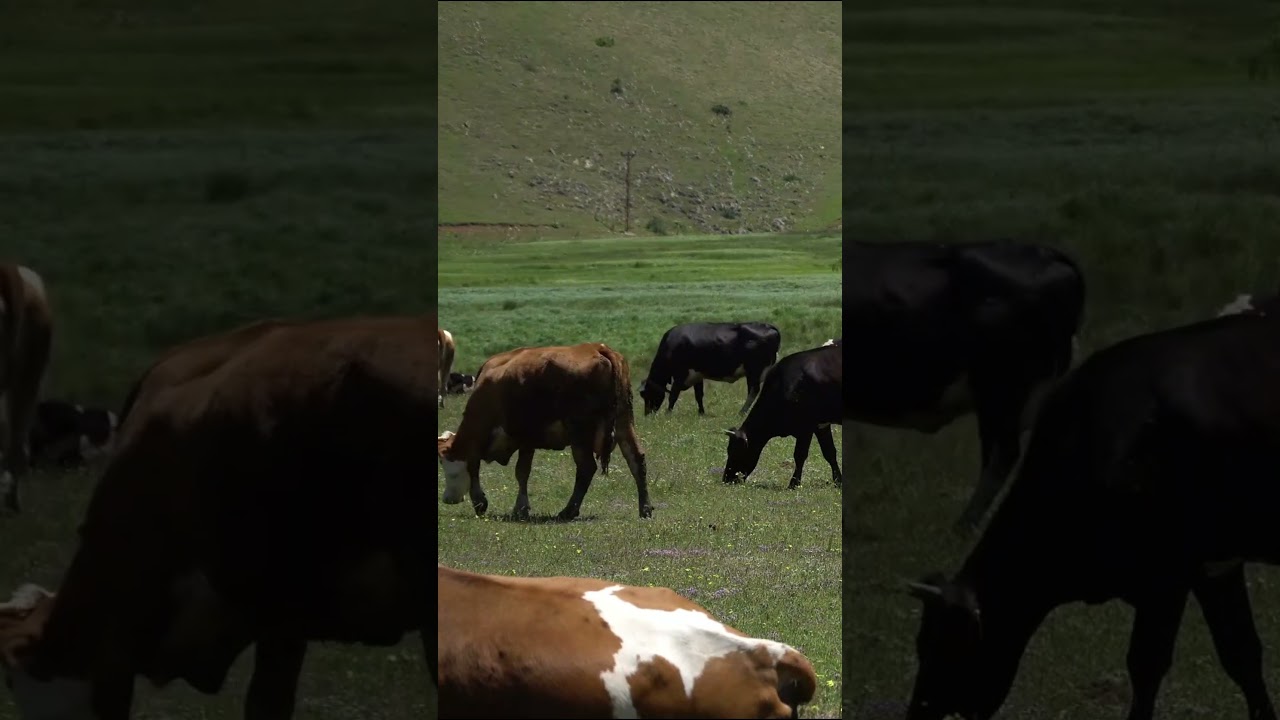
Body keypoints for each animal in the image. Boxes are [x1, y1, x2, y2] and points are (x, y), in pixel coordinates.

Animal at [437, 342, 650, 521]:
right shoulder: (527, 441)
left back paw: (568, 511)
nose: (447, 499)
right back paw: (645, 509)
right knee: (636, 458)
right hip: (624, 420)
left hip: (579, 432)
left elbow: (503, 470)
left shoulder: (518, 436)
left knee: (586, 468)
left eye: (445, 466)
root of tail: (598, 348)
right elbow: (522, 472)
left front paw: (486, 503)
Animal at [638, 322, 781, 416]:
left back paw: (741, 413)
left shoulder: (680, 374)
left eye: (646, 394)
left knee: (753, 391)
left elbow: (673, 395)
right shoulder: (697, 375)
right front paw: (701, 413)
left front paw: (668, 414)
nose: (647, 415)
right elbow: (699, 395)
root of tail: (768, 326)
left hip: (754, 370)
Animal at [722, 342, 842, 490]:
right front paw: (838, 481)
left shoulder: (806, 426)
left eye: (734, 451)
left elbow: (800, 455)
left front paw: (794, 483)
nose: (726, 479)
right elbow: (829, 452)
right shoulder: (821, 424)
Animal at [902, 311, 1280, 720]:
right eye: (920, 642)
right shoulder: (1215, 565)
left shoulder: (1167, 575)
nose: (917, 712)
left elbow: (1146, 663)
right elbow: (1241, 654)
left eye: (947, 646)